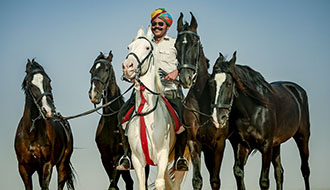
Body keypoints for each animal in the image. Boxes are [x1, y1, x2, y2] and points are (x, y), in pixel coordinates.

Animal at [14, 59, 75, 189]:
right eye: (31, 84)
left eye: (49, 80)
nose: (48, 110)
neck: (31, 133)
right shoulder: (23, 168)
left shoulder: (46, 165)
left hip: (62, 165)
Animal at [87, 50, 135, 190]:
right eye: (91, 71)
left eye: (107, 69)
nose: (94, 94)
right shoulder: (105, 158)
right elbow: (113, 185)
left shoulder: (117, 157)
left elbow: (113, 185)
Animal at [121, 26, 188, 190]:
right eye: (129, 47)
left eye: (146, 48)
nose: (127, 67)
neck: (146, 113)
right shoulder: (138, 161)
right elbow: (142, 185)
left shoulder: (162, 156)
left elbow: (159, 183)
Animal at [175, 12, 229, 189]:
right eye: (176, 46)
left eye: (195, 44)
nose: (185, 78)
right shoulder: (195, 143)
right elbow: (197, 180)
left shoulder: (218, 145)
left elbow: (215, 180)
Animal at [210, 51, 310, 189]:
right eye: (211, 83)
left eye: (229, 84)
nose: (217, 118)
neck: (252, 112)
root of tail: (298, 91)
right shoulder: (241, 145)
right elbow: (238, 173)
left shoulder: (266, 146)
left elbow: (264, 181)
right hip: (276, 144)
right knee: (279, 172)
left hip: (302, 137)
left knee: (305, 170)